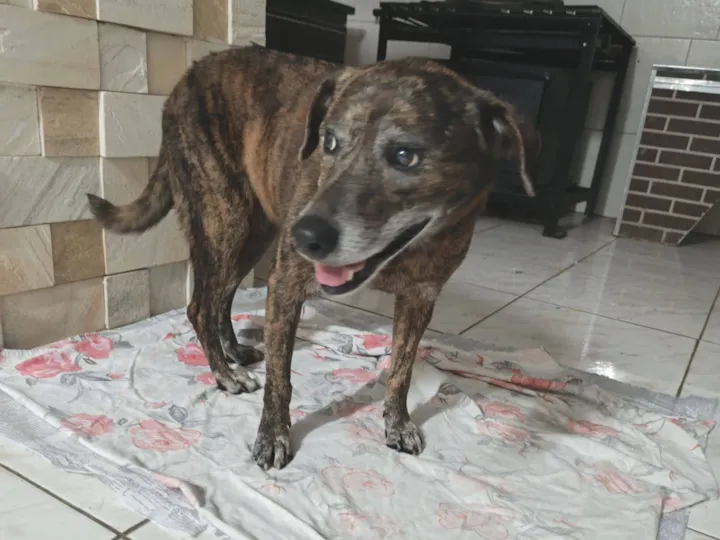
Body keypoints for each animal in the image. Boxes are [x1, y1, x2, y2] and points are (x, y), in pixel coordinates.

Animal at [87, 45, 535, 470]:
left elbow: (402, 369)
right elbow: (280, 378)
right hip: (225, 221)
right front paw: (272, 436)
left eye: (406, 155)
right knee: (200, 305)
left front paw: (398, 423)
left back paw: (235, 352)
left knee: (221, 299)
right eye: (329, 142)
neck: (406, 248)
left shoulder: (420, 300)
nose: (305, 236)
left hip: (254, 232)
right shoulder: (287, 281)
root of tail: (185, 79)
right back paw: (225, 375)